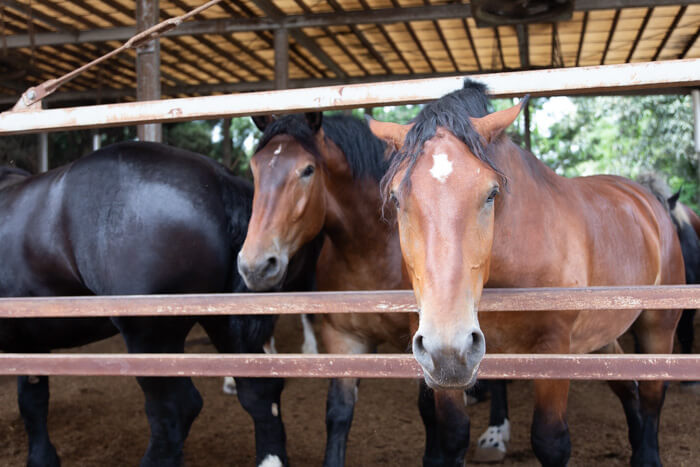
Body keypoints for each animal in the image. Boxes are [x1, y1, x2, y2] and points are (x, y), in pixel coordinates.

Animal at [0, 143, 322, 467]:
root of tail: (218, 179)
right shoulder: (29, 342)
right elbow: (34, 399)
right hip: (225, 323)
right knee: (260, 391)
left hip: (150, 336)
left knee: (175, 409)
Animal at [372, 80, 684, 467]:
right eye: (397, 199)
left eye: (491, 193)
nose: (448, 348)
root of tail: (649, 202)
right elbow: (453, 435)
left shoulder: (553, 349)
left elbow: (551, 441)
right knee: (629, 386)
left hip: (658, 325)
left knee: (654, 391)